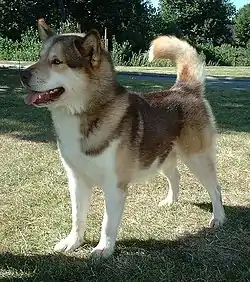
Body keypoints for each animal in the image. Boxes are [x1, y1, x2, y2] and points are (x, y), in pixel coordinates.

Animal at [20, 19, 226, 258]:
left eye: (56, 61)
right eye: (40, 57)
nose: (22, 75)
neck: (88, 113)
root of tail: (185, 89)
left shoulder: (114, 185)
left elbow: (108, 224)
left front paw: (103, 249)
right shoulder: (76, 180)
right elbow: (77, 217)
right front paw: (73, 242)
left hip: (197, 158)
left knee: (215, 188)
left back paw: (218, 218)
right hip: (162, 157)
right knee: (175, 176)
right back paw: (170, 202)